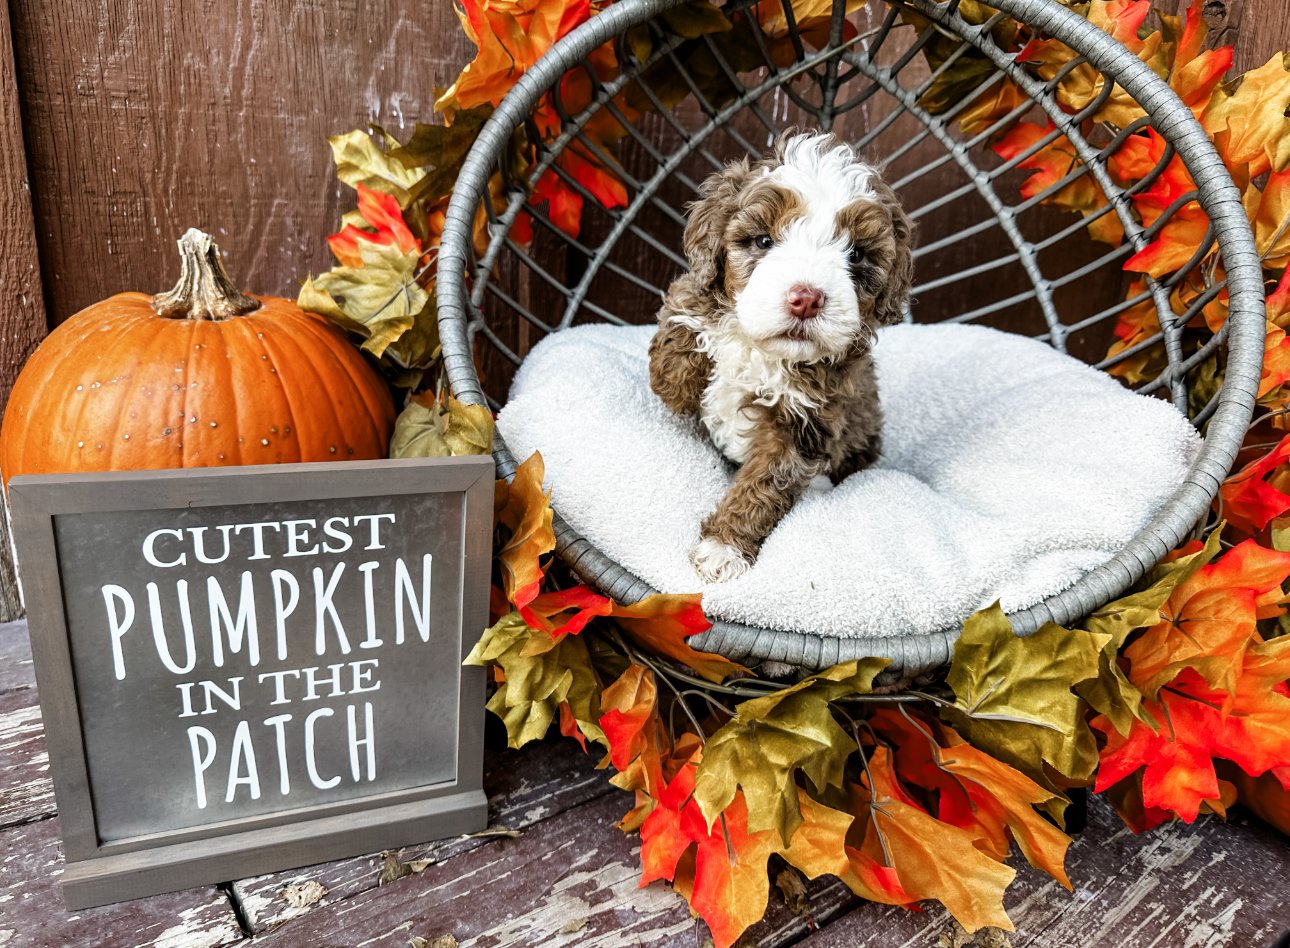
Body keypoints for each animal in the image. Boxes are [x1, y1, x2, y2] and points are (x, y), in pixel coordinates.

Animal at [650, 129, 913, 582]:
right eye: (763, 241)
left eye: (857, 254)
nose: (806, 299)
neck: (766, 353)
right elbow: (688, 306)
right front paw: (677, 376)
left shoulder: (805, 426)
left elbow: (763, 485)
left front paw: (723, 548)